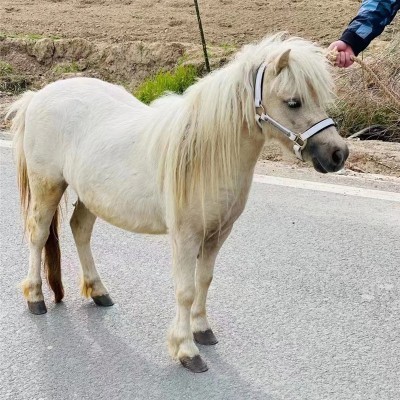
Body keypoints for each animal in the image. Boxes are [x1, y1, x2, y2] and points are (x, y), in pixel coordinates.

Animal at [7, 33, 348, 372]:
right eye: (294, 101)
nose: (338, 154)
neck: (205, 154)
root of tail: (37, 96)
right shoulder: (186, 236)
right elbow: (185, 290)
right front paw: (186, 350)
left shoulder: (217, 234)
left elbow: (204, 281)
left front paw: (202, 330)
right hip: (47, 186)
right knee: (38, 236)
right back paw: (35, 297)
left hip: (90, 197)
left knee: (79, 229)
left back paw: (99, 291)